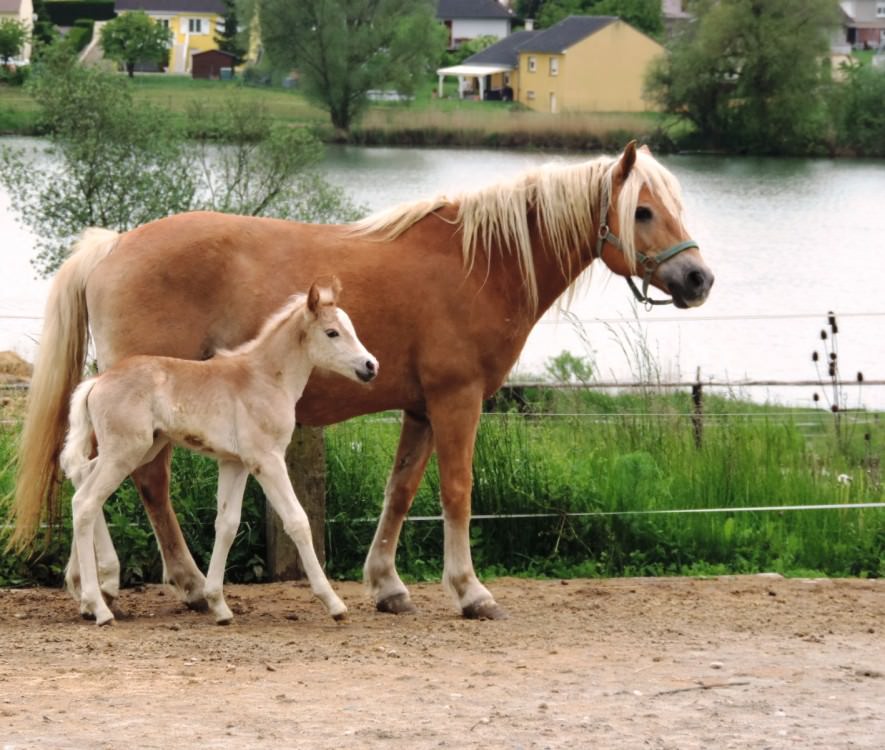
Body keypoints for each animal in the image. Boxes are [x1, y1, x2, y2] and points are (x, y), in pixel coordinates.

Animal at [58, 280, 376, 624]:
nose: (371, 366)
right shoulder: (267, 460)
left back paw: (94, 593)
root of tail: (97, 382)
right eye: (332, 332)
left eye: (351, 327)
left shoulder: (234, 463)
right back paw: (99, 606)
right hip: (124, 451)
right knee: (85, 502)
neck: (264, 378)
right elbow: (297, 520)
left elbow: (226, 525)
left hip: (139, 449)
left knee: (83, 480)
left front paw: (218, 605)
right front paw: (333, 603)